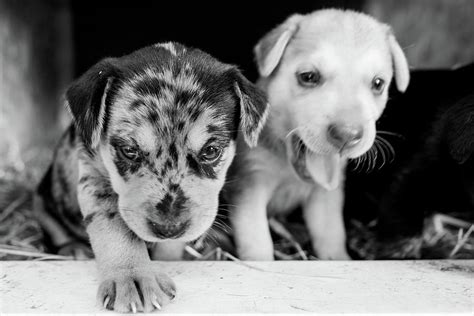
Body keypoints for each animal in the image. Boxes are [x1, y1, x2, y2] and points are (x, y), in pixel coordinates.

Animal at [34, 43, 266, 312]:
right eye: (129, 150)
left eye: (211, 151)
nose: (169, 228)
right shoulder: (92, 177)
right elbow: (114, 228)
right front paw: (132, 278)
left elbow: (170, 249)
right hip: (43, 200)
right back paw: (74, 249)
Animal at [228, 8, 410, 260]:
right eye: (308, 76)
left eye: (378, 83)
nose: (347, 135)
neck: (288, 170)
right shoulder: (249, 186)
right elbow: (256, 239)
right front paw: (260, 263)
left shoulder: (326, 196)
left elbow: (331, 233)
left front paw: (339, 258)